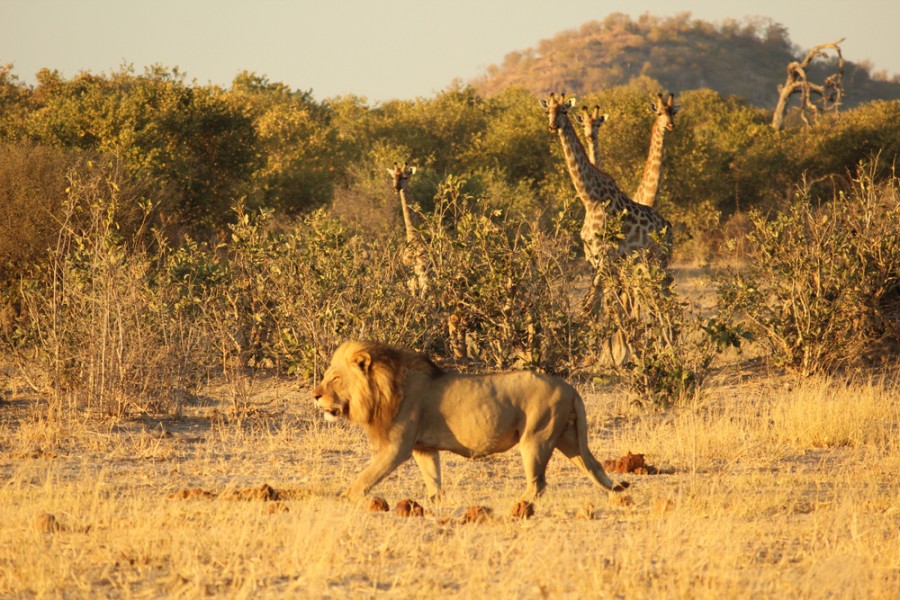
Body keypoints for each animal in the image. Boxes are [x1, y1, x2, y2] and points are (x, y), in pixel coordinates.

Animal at [312, 342, 628, 502]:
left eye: (335, 379)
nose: (315, 396)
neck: (383, 387)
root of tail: (570, 388)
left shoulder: (397, 447)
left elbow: (367, 476)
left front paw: (345, 497)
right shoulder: (423, 448)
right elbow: (433, 478)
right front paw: (434, 502)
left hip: (536, 439)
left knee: (538, 484)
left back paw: (518, 506)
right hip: (568, 438)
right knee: (593, 466)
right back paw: (615, 494)